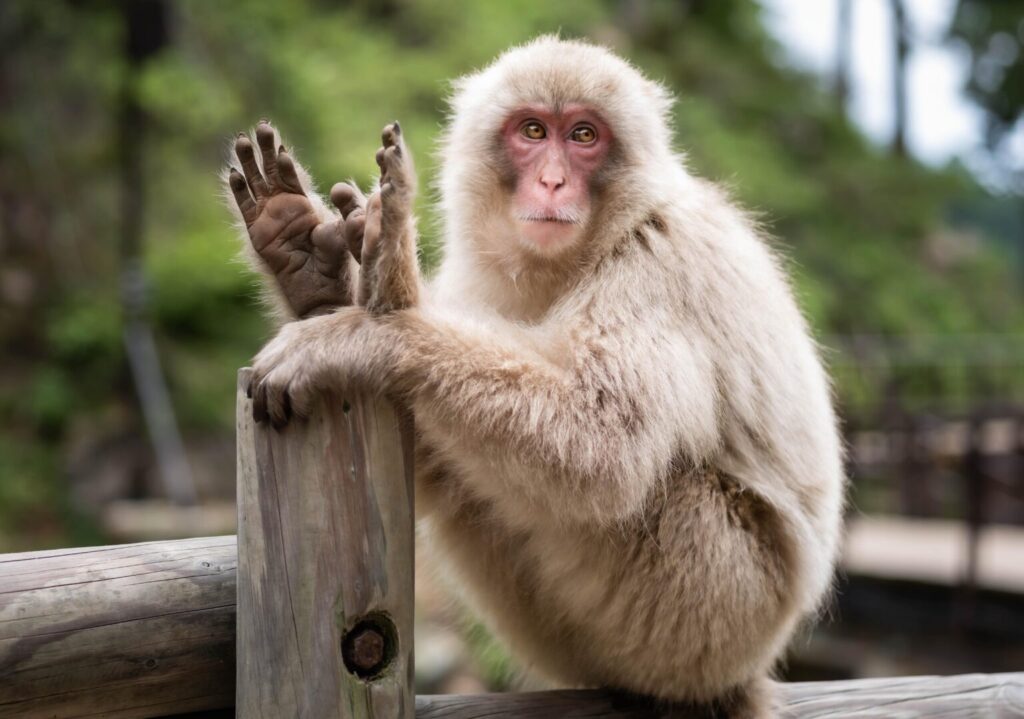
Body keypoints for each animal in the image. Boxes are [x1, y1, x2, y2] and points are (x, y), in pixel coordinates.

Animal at [225, 37, 845, 718]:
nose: (552, 180)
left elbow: (603, 444)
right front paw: (316, 275)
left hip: (718, 606)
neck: (584, 254)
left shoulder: (660, 264)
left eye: (583, 135)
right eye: (531, 131)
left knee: (657, 489)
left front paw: (373, 329)